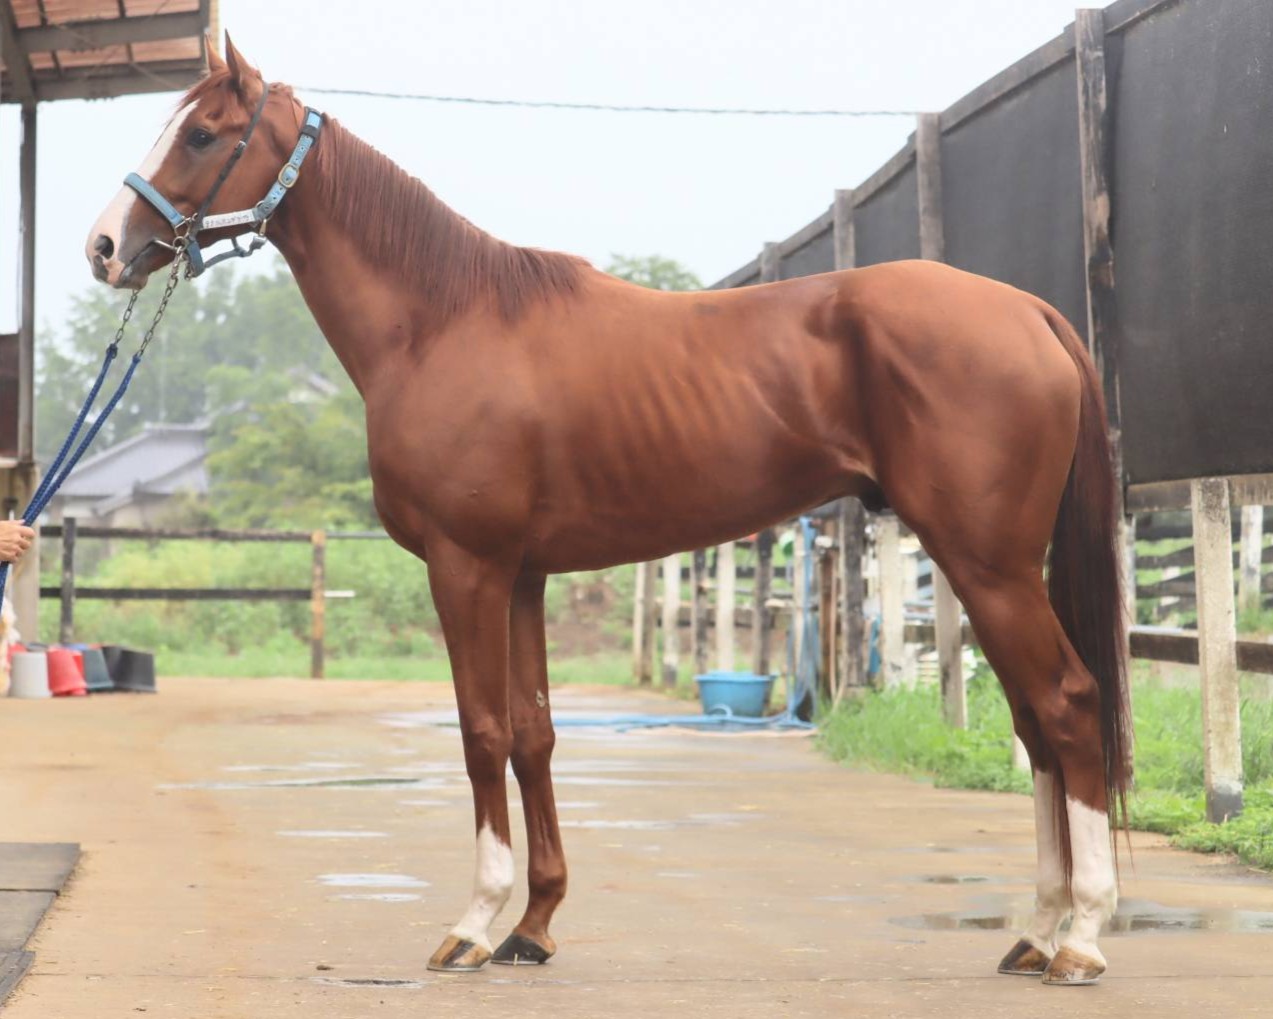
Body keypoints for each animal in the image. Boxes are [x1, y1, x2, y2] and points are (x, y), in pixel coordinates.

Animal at [86, 36, 1131, 987]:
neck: (444, 320)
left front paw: (473, 924)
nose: (104, 247)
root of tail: (1031, 313)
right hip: (984, 565)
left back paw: (1080, 937)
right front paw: (533, 924)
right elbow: (534, 734)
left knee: (1067, 706)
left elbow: (481, 733)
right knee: (1035, 721)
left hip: (988, 564)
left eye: (204, 133)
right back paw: (1037, 929)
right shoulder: (521, 575)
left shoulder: (465, 566)